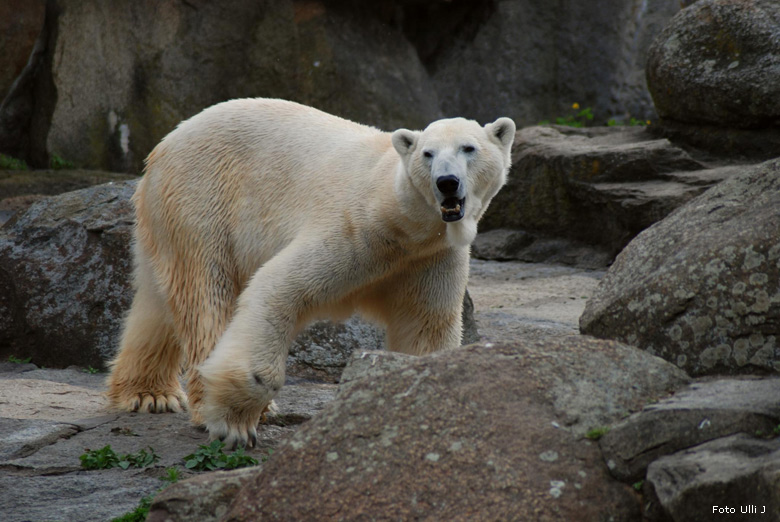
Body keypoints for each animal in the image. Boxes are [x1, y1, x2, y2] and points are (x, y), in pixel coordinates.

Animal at [106, 98, 516, 446]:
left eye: (469, 148)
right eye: (428, 154)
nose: (447, 182)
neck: (399, 221)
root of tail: (164, 145)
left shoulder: (429, 257)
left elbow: (427, 327)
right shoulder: (352, 226)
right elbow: (277, 288)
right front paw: (235, 421)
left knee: (158, 299)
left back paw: (148, 393)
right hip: (202, 200)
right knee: (207, 295)